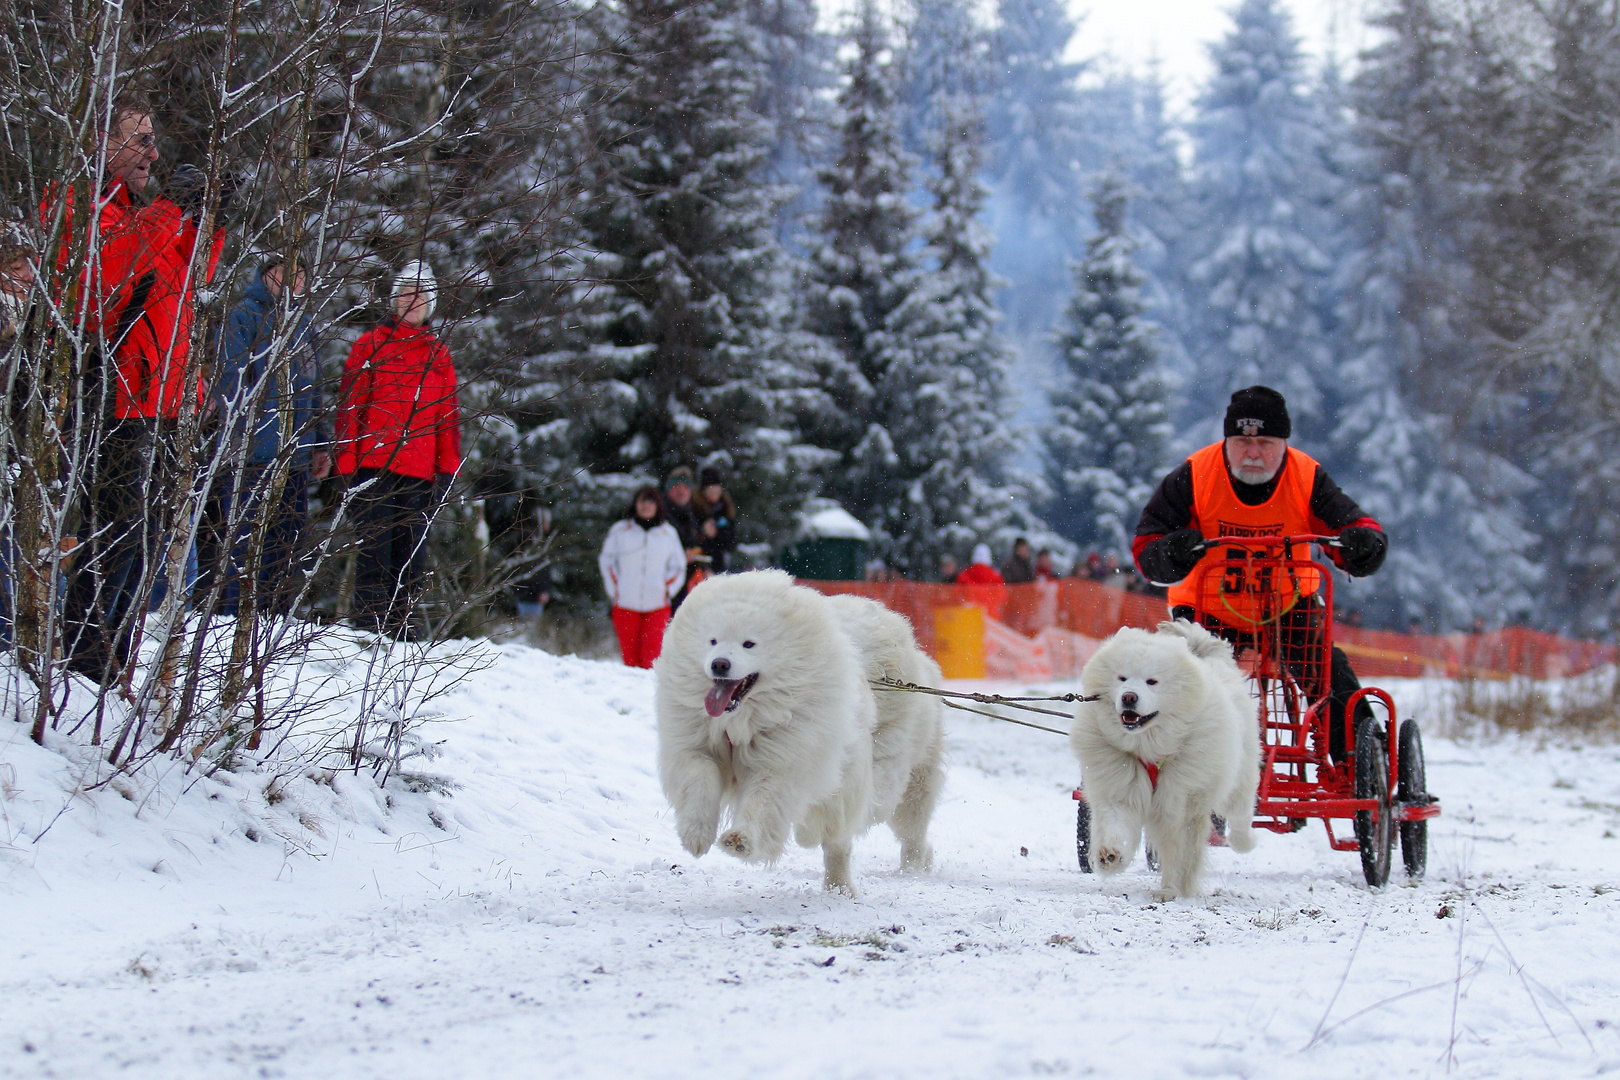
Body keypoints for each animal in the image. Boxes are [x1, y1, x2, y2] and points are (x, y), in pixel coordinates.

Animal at [651, 569, 946, 893]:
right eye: (712, 640)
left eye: (749, 643)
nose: (719, 664)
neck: (744, 720)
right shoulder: (694, 746)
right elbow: (699, 781)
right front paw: (695, 834)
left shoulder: (782, 761)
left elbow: (761, 803)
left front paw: (741, 841)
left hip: (893, 777)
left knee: (889, 834)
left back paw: (886, 874)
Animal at [1075, 621, 1263, 900]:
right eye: (1122, 678)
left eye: (1152, 682)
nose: (1129, 696)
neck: (1151, 748)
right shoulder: (1121, 786)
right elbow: (1117, 825)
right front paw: (1110, 855)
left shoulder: (1182, 801)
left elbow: (1180, 851)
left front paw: (1171, 889)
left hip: (1238, 777)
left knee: (1241, 813)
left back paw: (1244, 842)